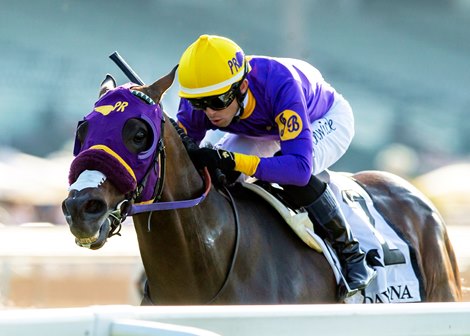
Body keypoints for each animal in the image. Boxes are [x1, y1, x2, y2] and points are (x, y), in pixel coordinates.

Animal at [62, 68, 462, 304]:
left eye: (139, 134)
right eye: (83, 130)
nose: (82, 207)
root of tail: (419, 200)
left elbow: (299, 169)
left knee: (304, 174)